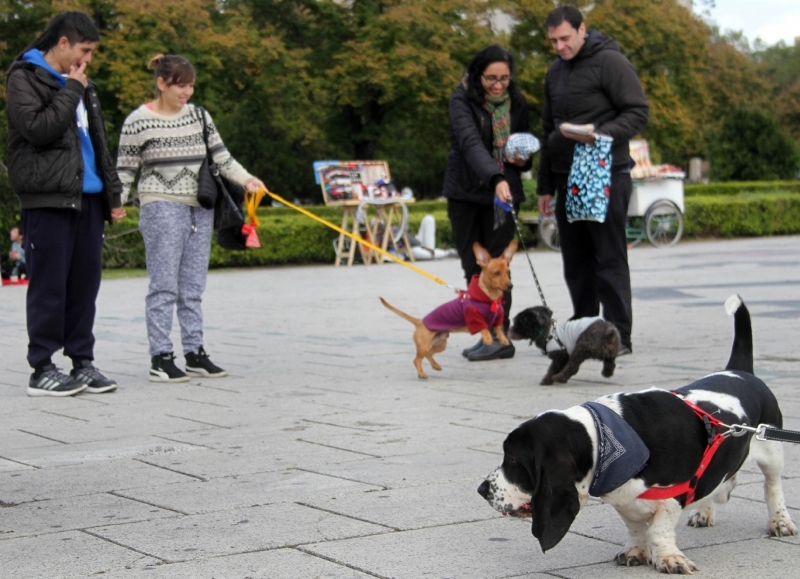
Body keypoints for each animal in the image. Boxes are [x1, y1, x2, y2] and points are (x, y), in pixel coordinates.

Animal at [478, 296, 796, 572]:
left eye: (514, 459)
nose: (482, 490)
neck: (603, 440)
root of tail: (739, 371)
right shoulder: (623, 499)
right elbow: (635, 526)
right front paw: (636, 551)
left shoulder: (671, 496)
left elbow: (658, 528)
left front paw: (668, 558)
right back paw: (706, 510)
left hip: (772, 452)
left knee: (772, 487)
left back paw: (780, 521)